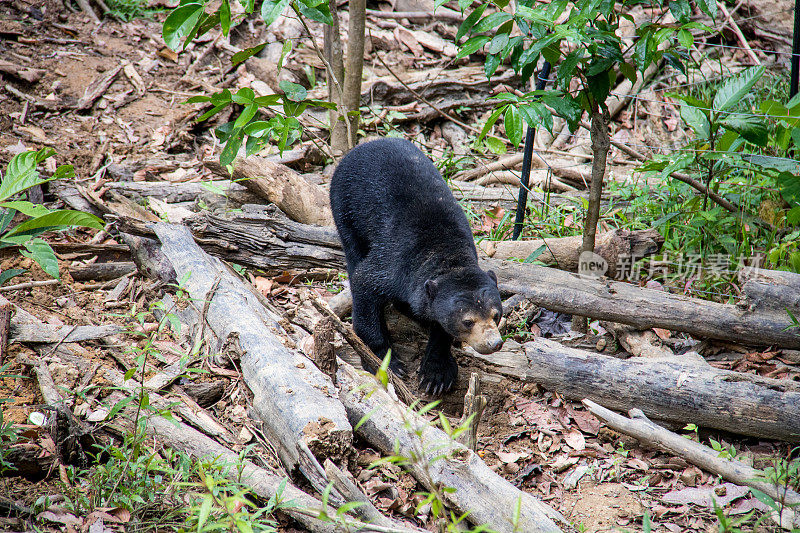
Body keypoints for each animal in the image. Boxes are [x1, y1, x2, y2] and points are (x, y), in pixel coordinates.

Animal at [330, 137, 504, 394]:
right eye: (468, 321)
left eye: (496, 314)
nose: (494, 343)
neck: (447, 256)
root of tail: (368, 143)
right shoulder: (395, 264)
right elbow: (364, 284)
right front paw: (385, 362)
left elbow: (440, 326)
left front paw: (436, 375)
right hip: (345, 206)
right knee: (353, 253)